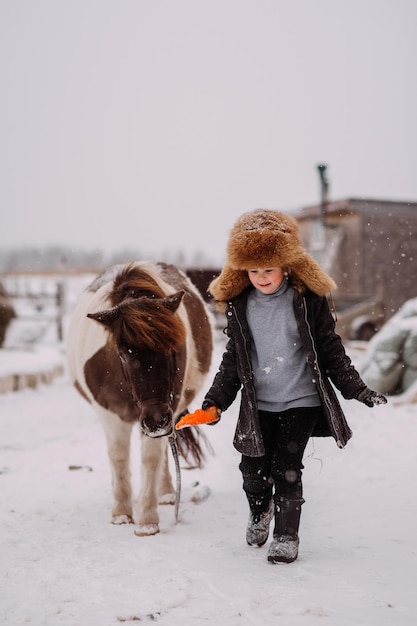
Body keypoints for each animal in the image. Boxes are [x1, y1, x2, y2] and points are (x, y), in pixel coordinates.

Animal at [68, 260, 213, 532]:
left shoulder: (167, 413)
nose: (155, 419)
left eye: (173, 349)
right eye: (124, 354)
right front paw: (122, 513)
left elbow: (151, 458)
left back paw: (165, 492)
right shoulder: (110, 416)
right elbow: (119, 458)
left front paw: (147, 521)